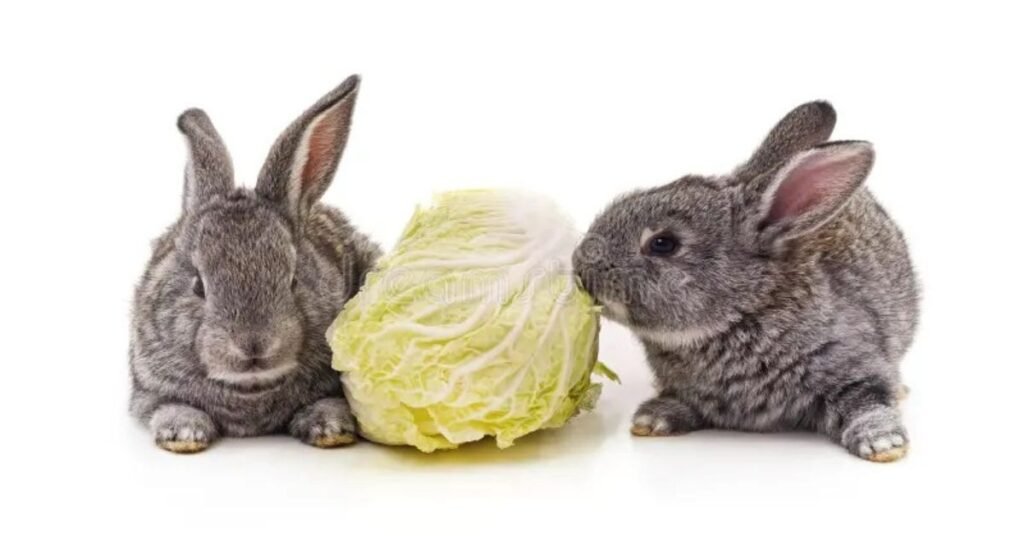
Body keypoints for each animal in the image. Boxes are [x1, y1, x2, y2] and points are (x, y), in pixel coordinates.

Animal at [129, 75, 382, 453]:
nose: (254, 345)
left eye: (293, 280)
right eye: (198, 286)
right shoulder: (148, 390)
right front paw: (183, 434)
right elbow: (168, 406)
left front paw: (330, 428)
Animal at [573, 101, 919, 462]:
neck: (746, 310)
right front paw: (652, 419)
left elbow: (867, 402)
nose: (579, 266)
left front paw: (883, 443)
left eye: (663, 243)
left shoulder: (853, 365)